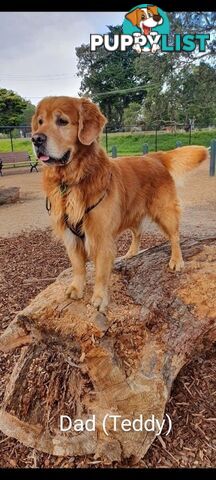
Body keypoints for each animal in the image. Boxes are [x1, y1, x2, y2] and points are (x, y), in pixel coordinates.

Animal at [31, 97, 208, 316]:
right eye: (40, 122)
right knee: (137, 232)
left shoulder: (102, 238)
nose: (35, 139)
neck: (72, 180)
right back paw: (131, 254)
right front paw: (77, 288)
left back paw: (176, 260)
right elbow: (78, 266)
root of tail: (154, 156)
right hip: (129, 212)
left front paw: (99, 299)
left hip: (164, 211)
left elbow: (100, 273)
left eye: (62, 121)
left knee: (174, 235)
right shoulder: (70, 236)